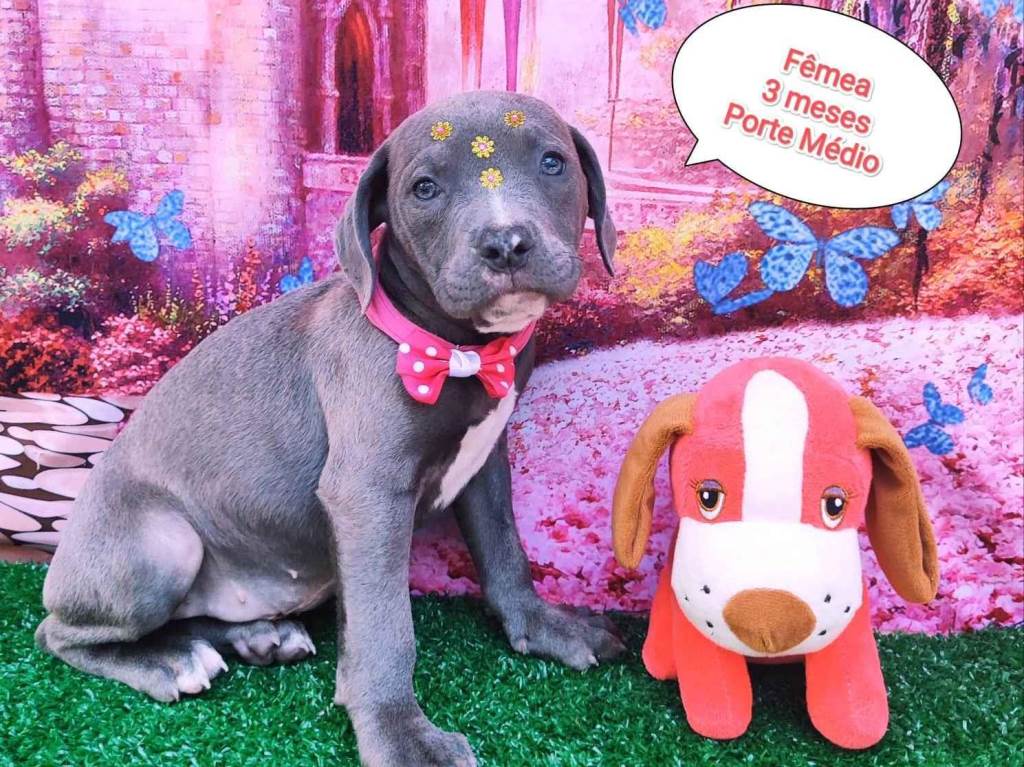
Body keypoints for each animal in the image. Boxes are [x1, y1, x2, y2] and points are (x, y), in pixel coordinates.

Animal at [37, 91, 624, 767]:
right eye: (424, 188)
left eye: (554, 162)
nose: (505, 243)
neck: (458, 351)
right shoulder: (367, 495)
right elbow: (383, 628)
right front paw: (400, 734)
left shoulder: (485, 463)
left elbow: (505, 552)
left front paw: (544, 626)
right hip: (163, 544)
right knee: (58, 633)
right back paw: (168, 662)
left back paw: (258, 635)